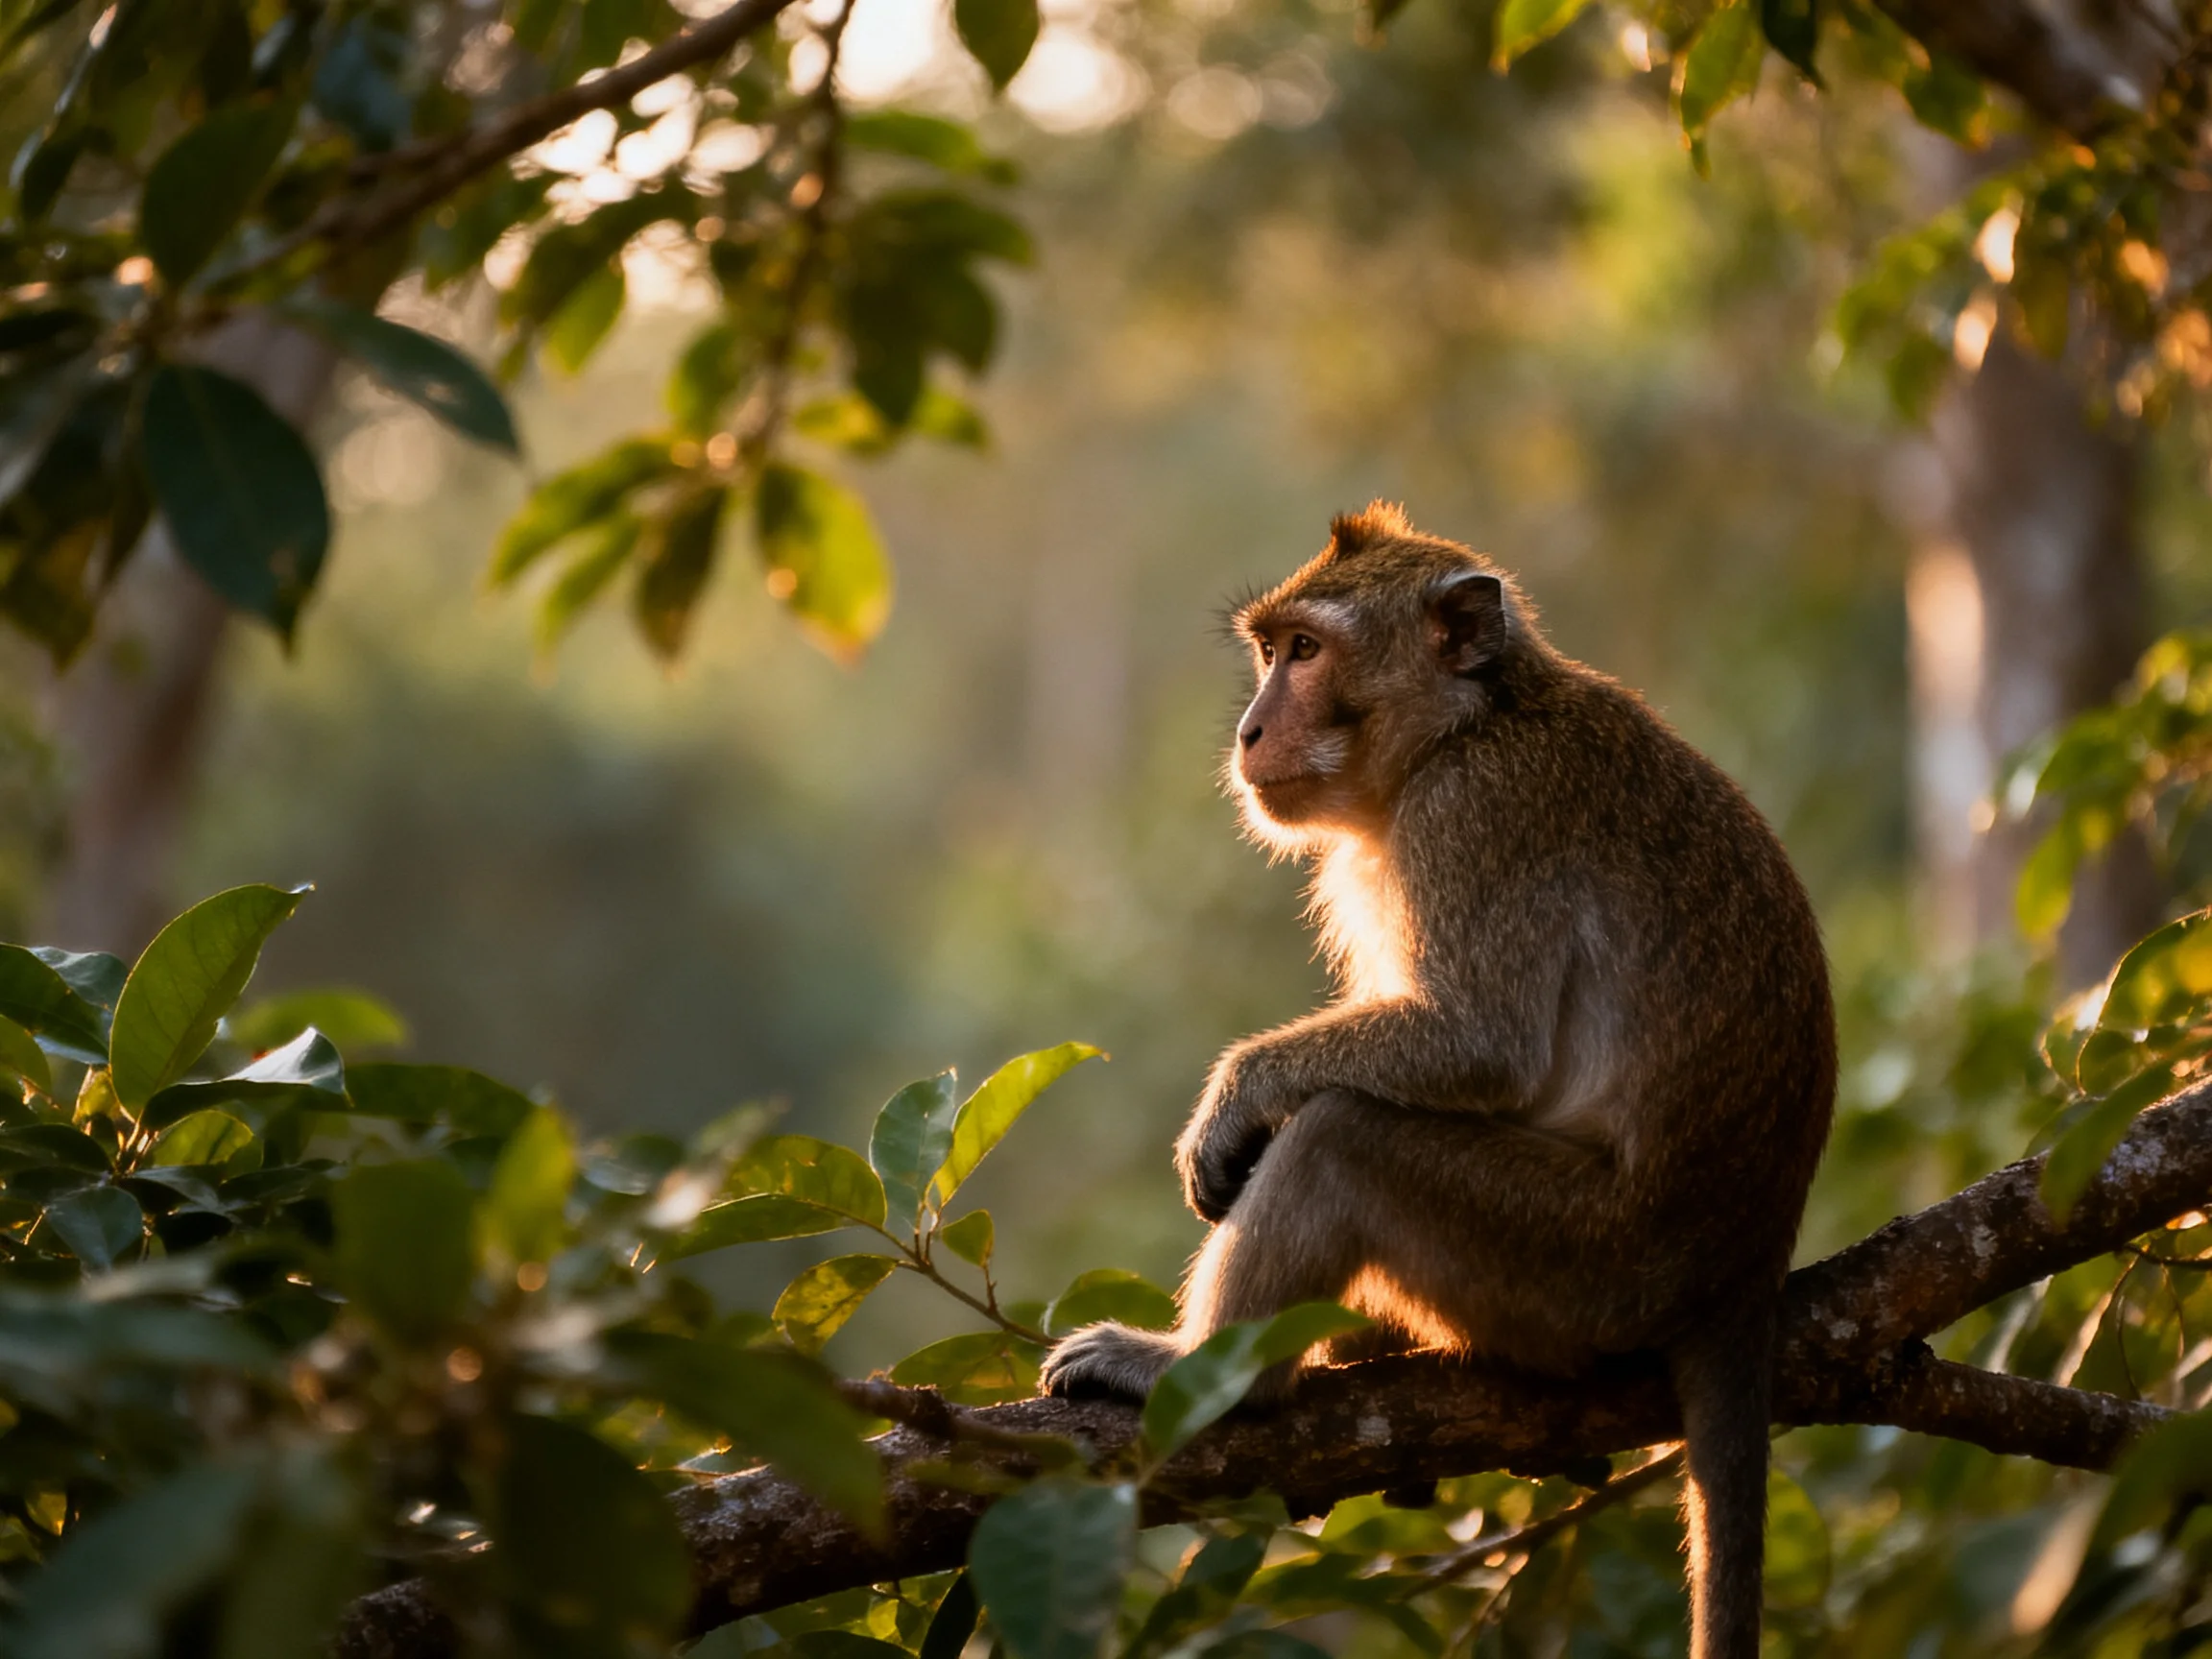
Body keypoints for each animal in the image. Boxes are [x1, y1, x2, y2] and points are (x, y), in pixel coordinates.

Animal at [1037, 503, 1835, 1659]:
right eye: (1269, 653)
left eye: (1307, 651)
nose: (1250, 733)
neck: (1468, 727)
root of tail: (1745, 1271)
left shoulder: (1475, 816)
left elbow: (1477, 1043)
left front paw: (1235, 1098)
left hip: (1580, 1268)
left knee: (1344, 1138)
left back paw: (1214, 1380)